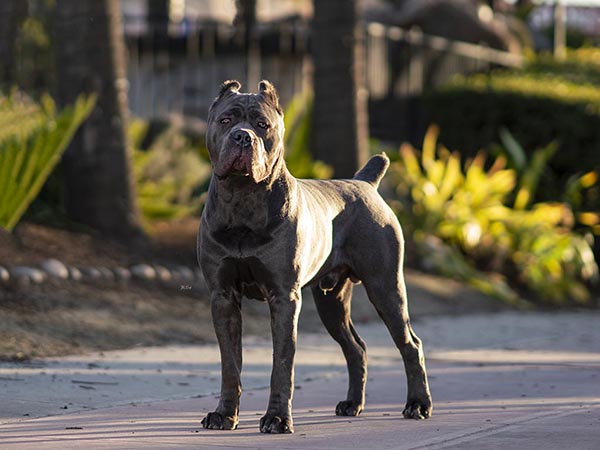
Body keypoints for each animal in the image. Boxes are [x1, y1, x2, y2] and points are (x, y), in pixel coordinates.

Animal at [199, 80, 434, 432]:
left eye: (262, 125)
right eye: (226, 120)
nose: (242, 137)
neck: (242, 199)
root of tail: (365, 183)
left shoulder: (284, 297)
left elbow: (282, 363)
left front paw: (277, 418)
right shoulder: (223, 296)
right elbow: (230, 363)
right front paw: (224, 415)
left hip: (386, 287)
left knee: (410, 344)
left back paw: (418, 404)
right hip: (331, 300)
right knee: (356, 348)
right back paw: (352, 404)